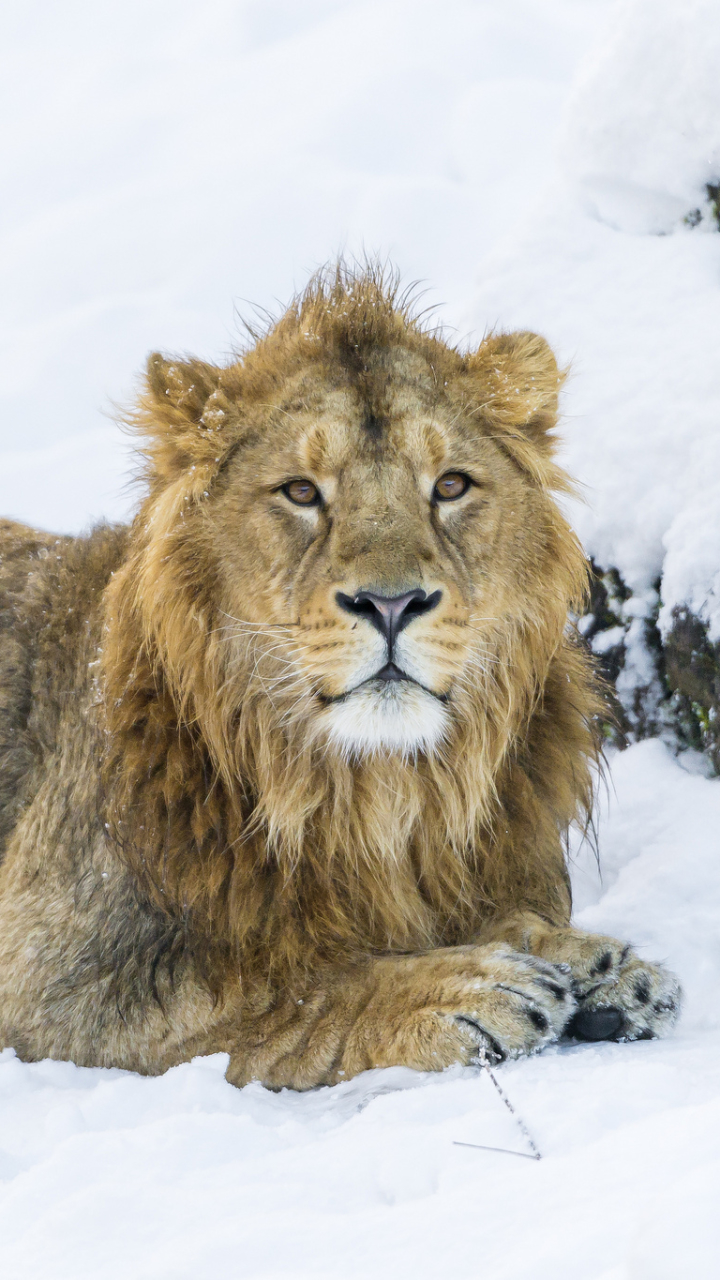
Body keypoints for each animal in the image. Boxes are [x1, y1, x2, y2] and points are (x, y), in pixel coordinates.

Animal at [0, 264, 676, 1085]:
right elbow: (285, 990)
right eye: (300, 491)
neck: (379, 793)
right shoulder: (55, 982)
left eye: (451, 486)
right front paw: (462, 986)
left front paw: (601, 969)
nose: (391, 603)